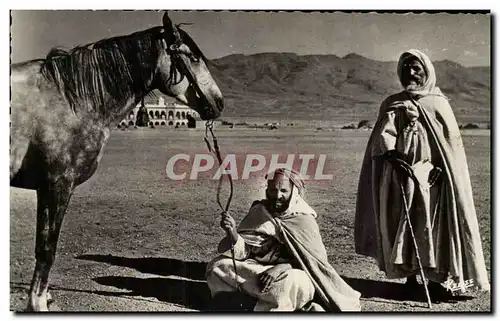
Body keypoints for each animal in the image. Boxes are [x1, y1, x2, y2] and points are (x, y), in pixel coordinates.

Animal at [9, 12, 225, 310]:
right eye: (192, 56)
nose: (219, 102)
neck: (71, 100)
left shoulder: (48, 185)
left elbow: (43, 244)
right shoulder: (58, 183)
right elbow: (47, 248)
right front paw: (38, 302)